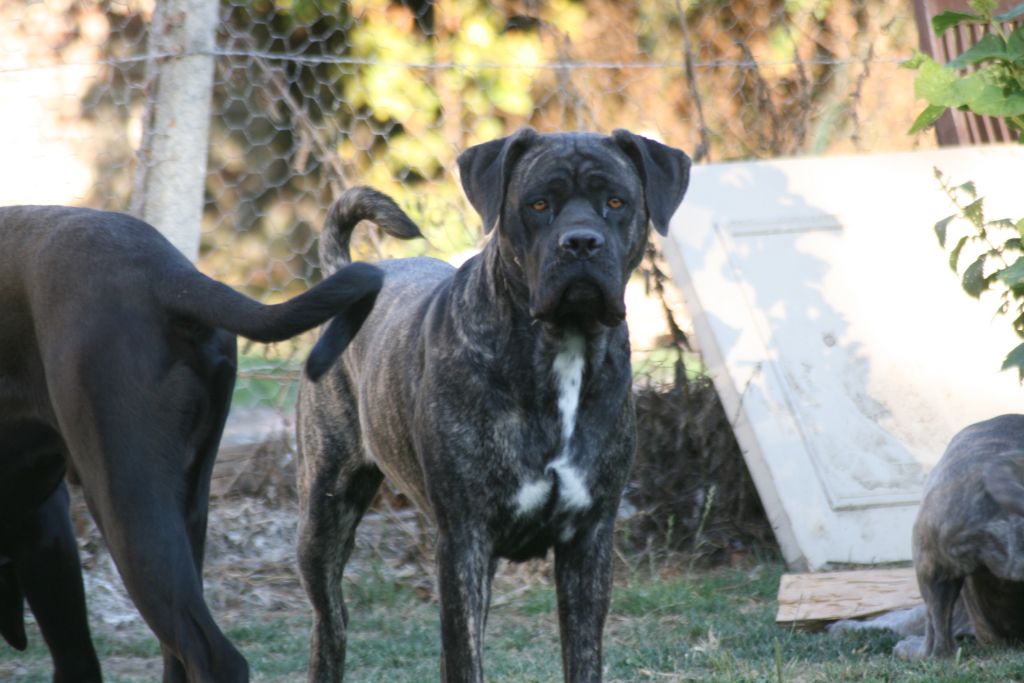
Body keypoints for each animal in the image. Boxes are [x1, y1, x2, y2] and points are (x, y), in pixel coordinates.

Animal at [0, 205, 385, 679]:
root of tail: (167, 273)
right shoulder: (47, 531)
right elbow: (77, 657)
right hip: (187, 510)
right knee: (177, 652)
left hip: (126, 505)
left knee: (214, 656)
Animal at [299, 131, 692, 679]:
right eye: (538, 204)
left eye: (616, 202)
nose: (581, 243)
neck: (560, 349)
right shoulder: (464, 539)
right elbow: (466, 659)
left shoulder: (589, 540)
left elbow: (582, 656)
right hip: (325, 512)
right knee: (329, 622)